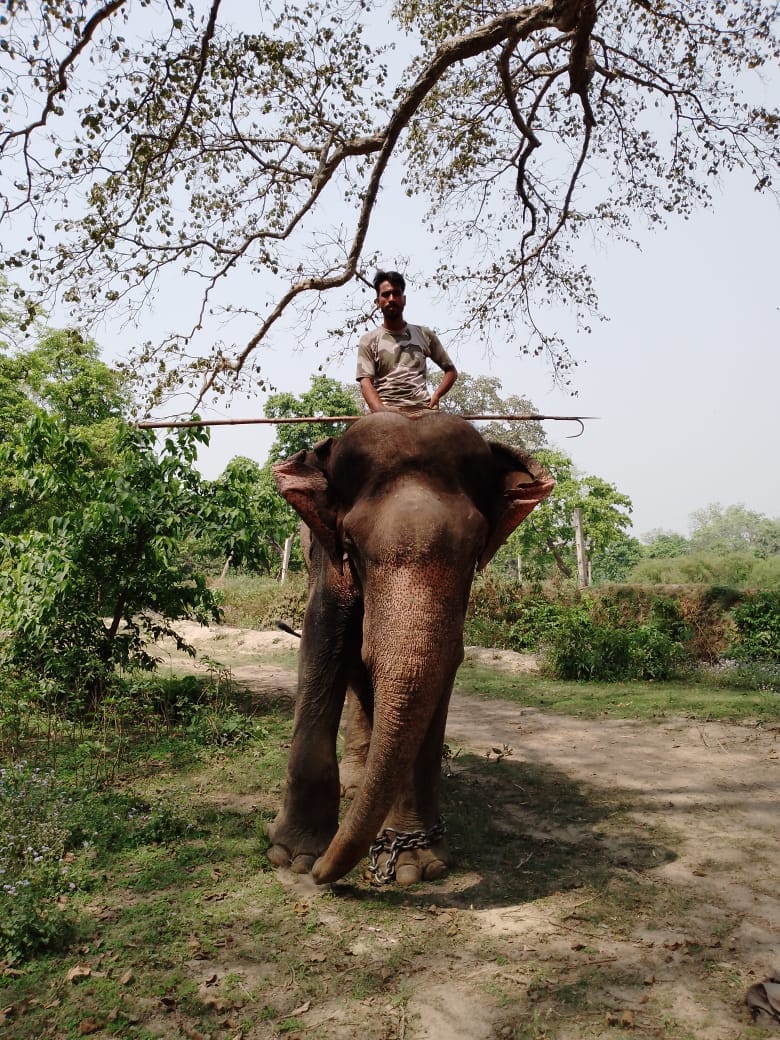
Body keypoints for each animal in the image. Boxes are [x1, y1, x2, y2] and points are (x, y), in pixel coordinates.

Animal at [267, 410, 554, 885]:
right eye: (350, 545)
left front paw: (417, 864)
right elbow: (323, 640)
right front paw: (293, 856)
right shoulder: (326, 559)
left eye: (475, 549)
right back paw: (354, 785)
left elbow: (441, 667)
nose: (324, 876)